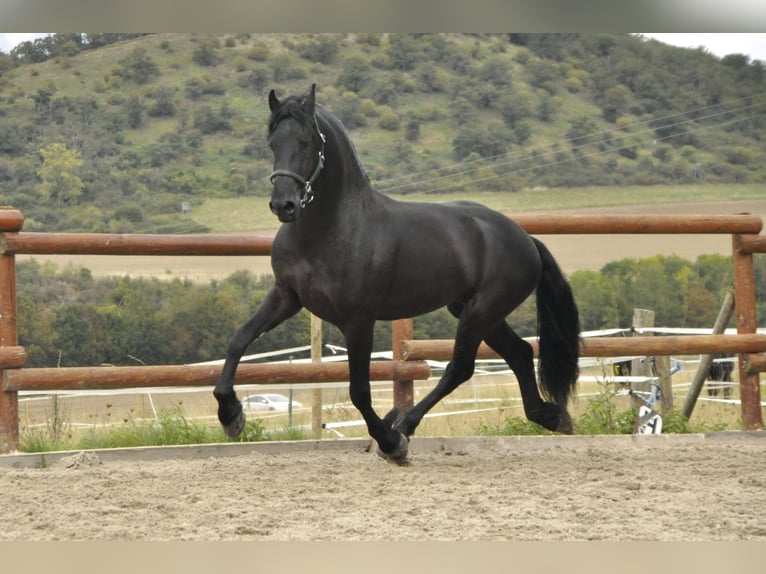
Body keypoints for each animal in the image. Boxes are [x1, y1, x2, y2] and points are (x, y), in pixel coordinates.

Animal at [213, 85, 580, 464]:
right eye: (273, 143)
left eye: (307, 142)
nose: (283, 205)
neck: (328, 231)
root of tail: (524, 238)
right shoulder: (286, 296)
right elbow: (238, 340)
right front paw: (231, 415)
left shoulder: (358, 319)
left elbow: (359, 390)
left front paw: (389, 442)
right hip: (475, 311)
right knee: (519, 352)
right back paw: (550, 416)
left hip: (482, 312)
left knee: (460, 368)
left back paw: (404, 427)